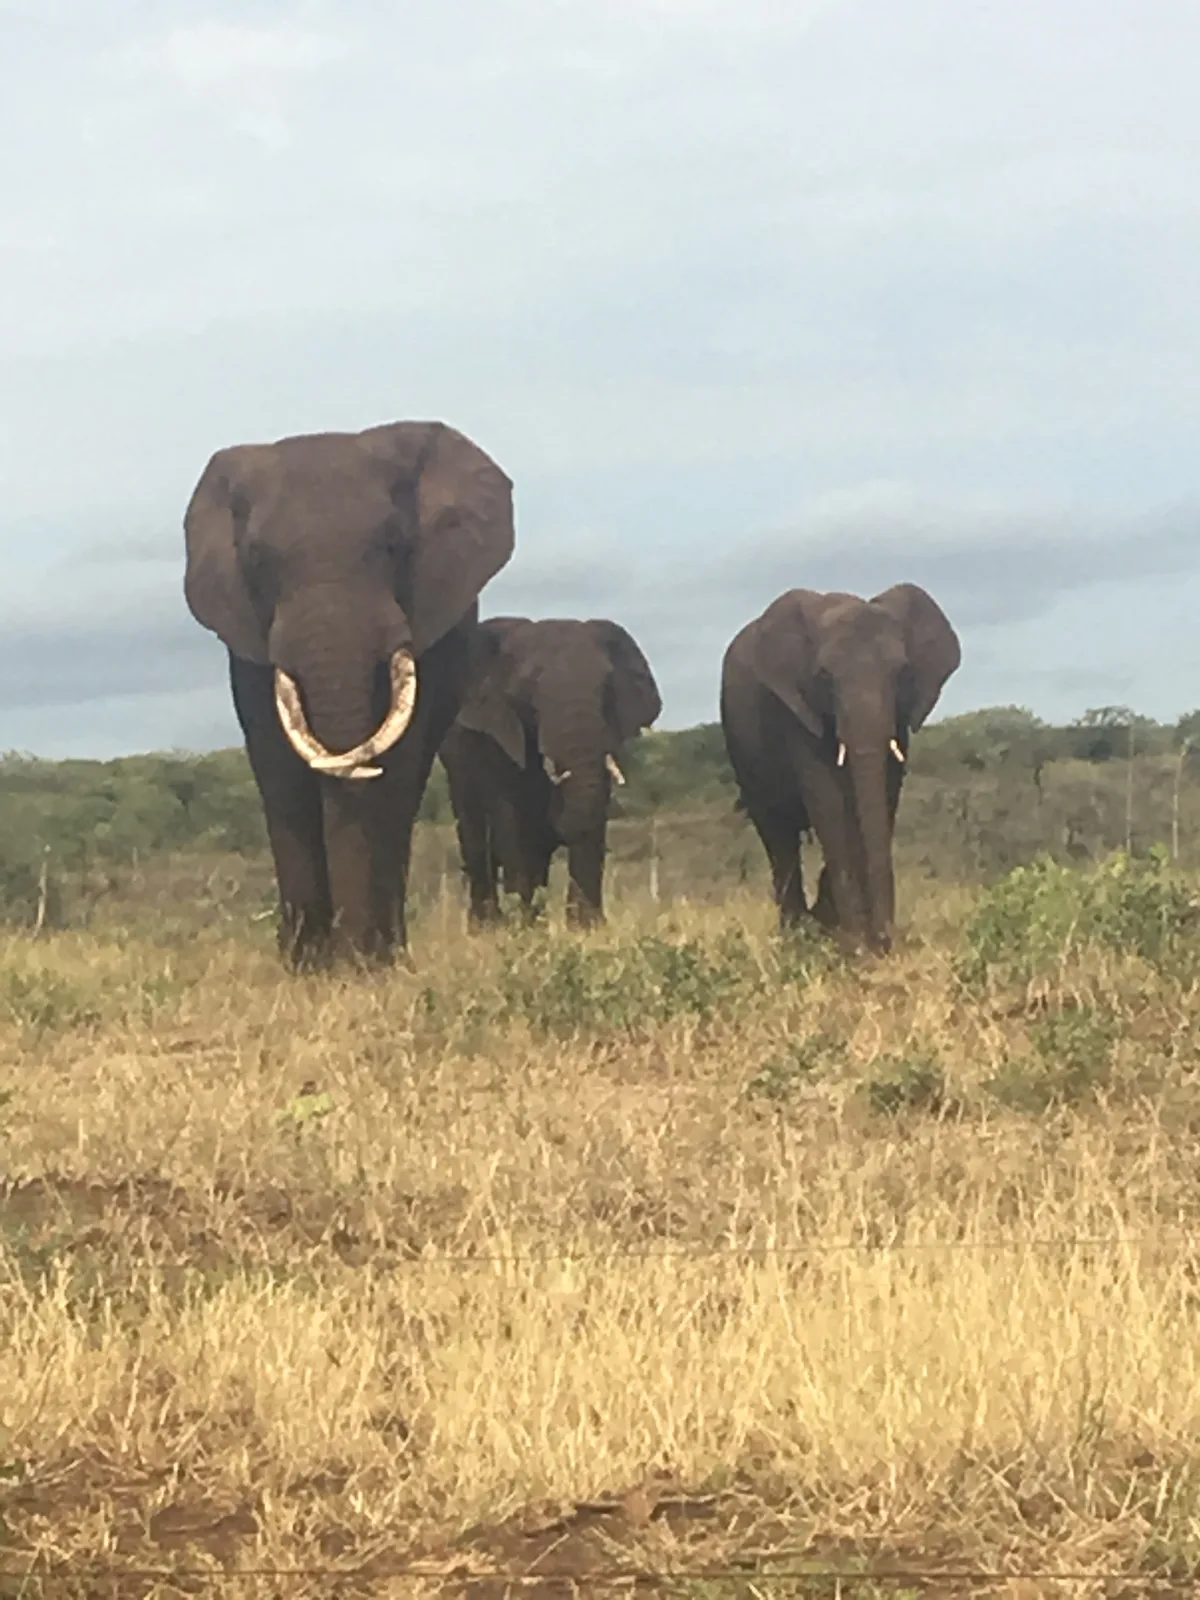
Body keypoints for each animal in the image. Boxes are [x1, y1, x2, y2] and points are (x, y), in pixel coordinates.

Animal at [183, 420, 515, 967]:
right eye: (256, 561)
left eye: (395, 544)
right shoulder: (248, 641)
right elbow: (278, 770)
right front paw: (309, 966)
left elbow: (394, 768)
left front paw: (364, 965)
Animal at [438, 616, 662, 927]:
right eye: (527, 693)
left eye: (607, 689)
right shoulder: (497, 737)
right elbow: (512, 827)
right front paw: (525, 929)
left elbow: (591, 818)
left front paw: (587, 928)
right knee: (477, 839)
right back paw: (487, 927)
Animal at [720, 583, 960, 954]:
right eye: (824, 677)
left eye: (902, 672)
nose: (888, 940)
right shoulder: (797, 709)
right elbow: (829, 802)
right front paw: (856, 948)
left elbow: (883, 795)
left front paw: (865, 942)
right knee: (778, 838)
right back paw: (796, 937)